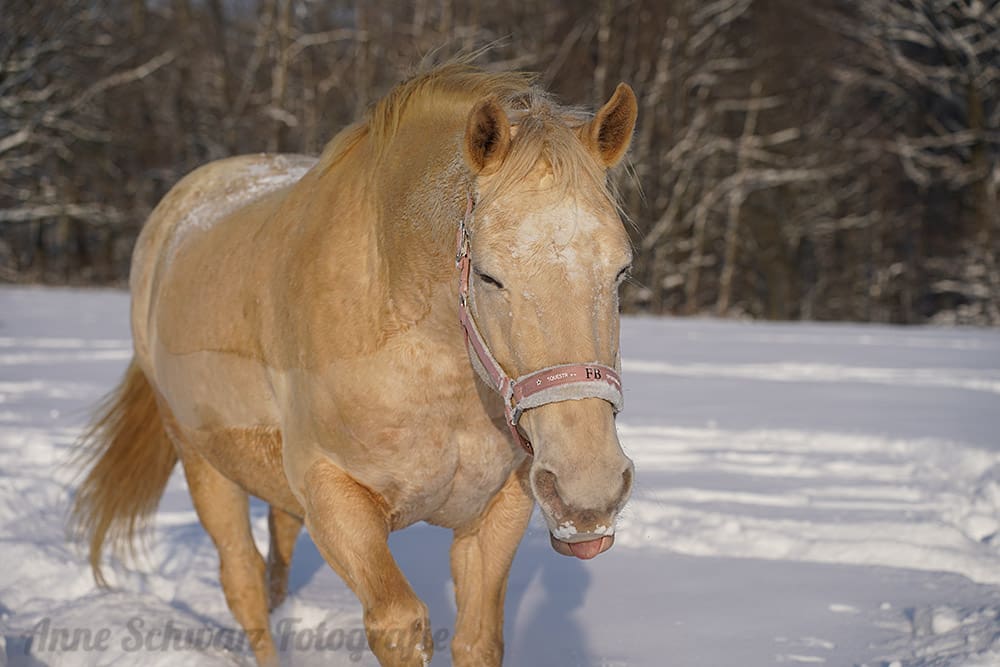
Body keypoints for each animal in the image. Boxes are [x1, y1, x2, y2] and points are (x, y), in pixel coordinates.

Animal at [71, 63, 638, 666]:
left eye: (621, 270)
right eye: (489, 275)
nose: (589, 489)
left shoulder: (498, 511)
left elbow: (478, 637)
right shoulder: (335, 498)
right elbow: (399, 625)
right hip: (202, 460)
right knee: (243, 582)